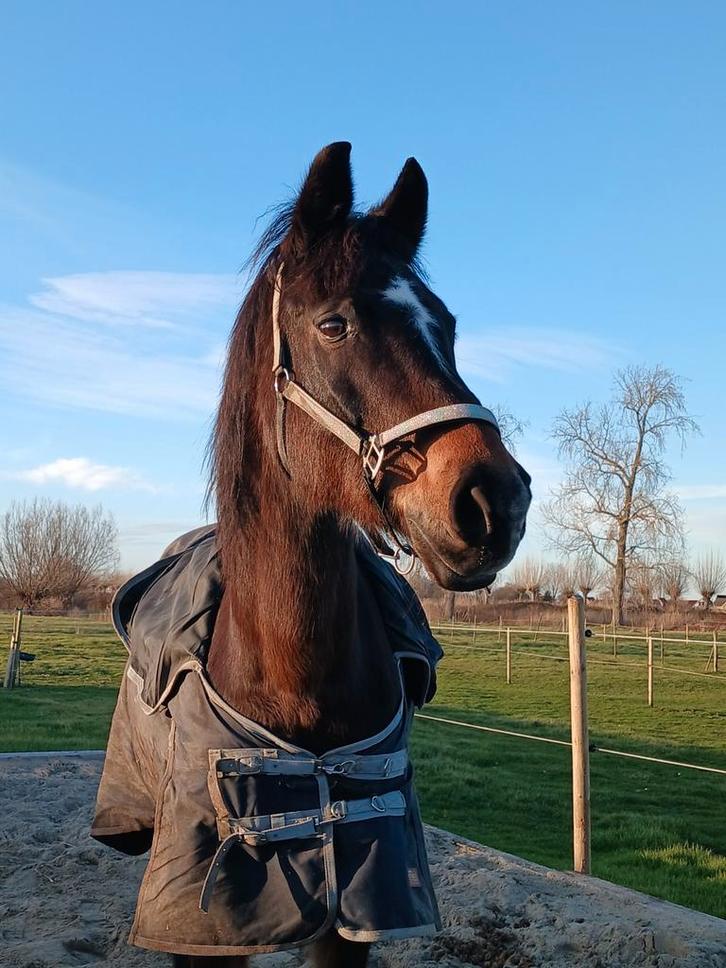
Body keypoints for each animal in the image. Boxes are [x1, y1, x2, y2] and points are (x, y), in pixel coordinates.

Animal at [95, 142, 530, 968]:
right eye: (334, 323)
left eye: (447, 325)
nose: (496, 502)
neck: (293, 674)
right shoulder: (198, 921)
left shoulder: (357, 907)